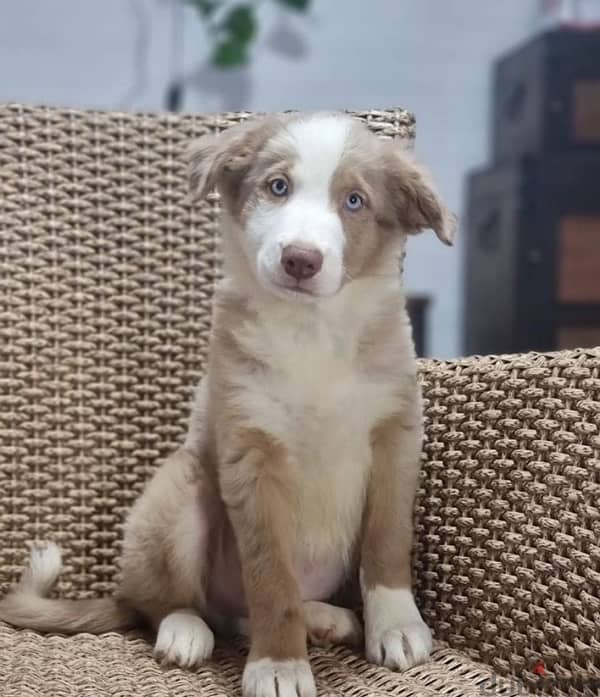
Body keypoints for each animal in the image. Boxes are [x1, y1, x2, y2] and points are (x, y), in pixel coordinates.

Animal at [0, 111, 454, 692]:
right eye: (277, 187)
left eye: (354, 201)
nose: (300, 259)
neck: (311, 331)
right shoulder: (251, 450)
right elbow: (271, 579)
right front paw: (279, 665)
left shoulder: (395, 435)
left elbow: (388, 539)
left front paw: (396, 624)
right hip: (179, 497)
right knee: (169, 605)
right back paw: (185, 631)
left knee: (240, 613)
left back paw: (325, 617)